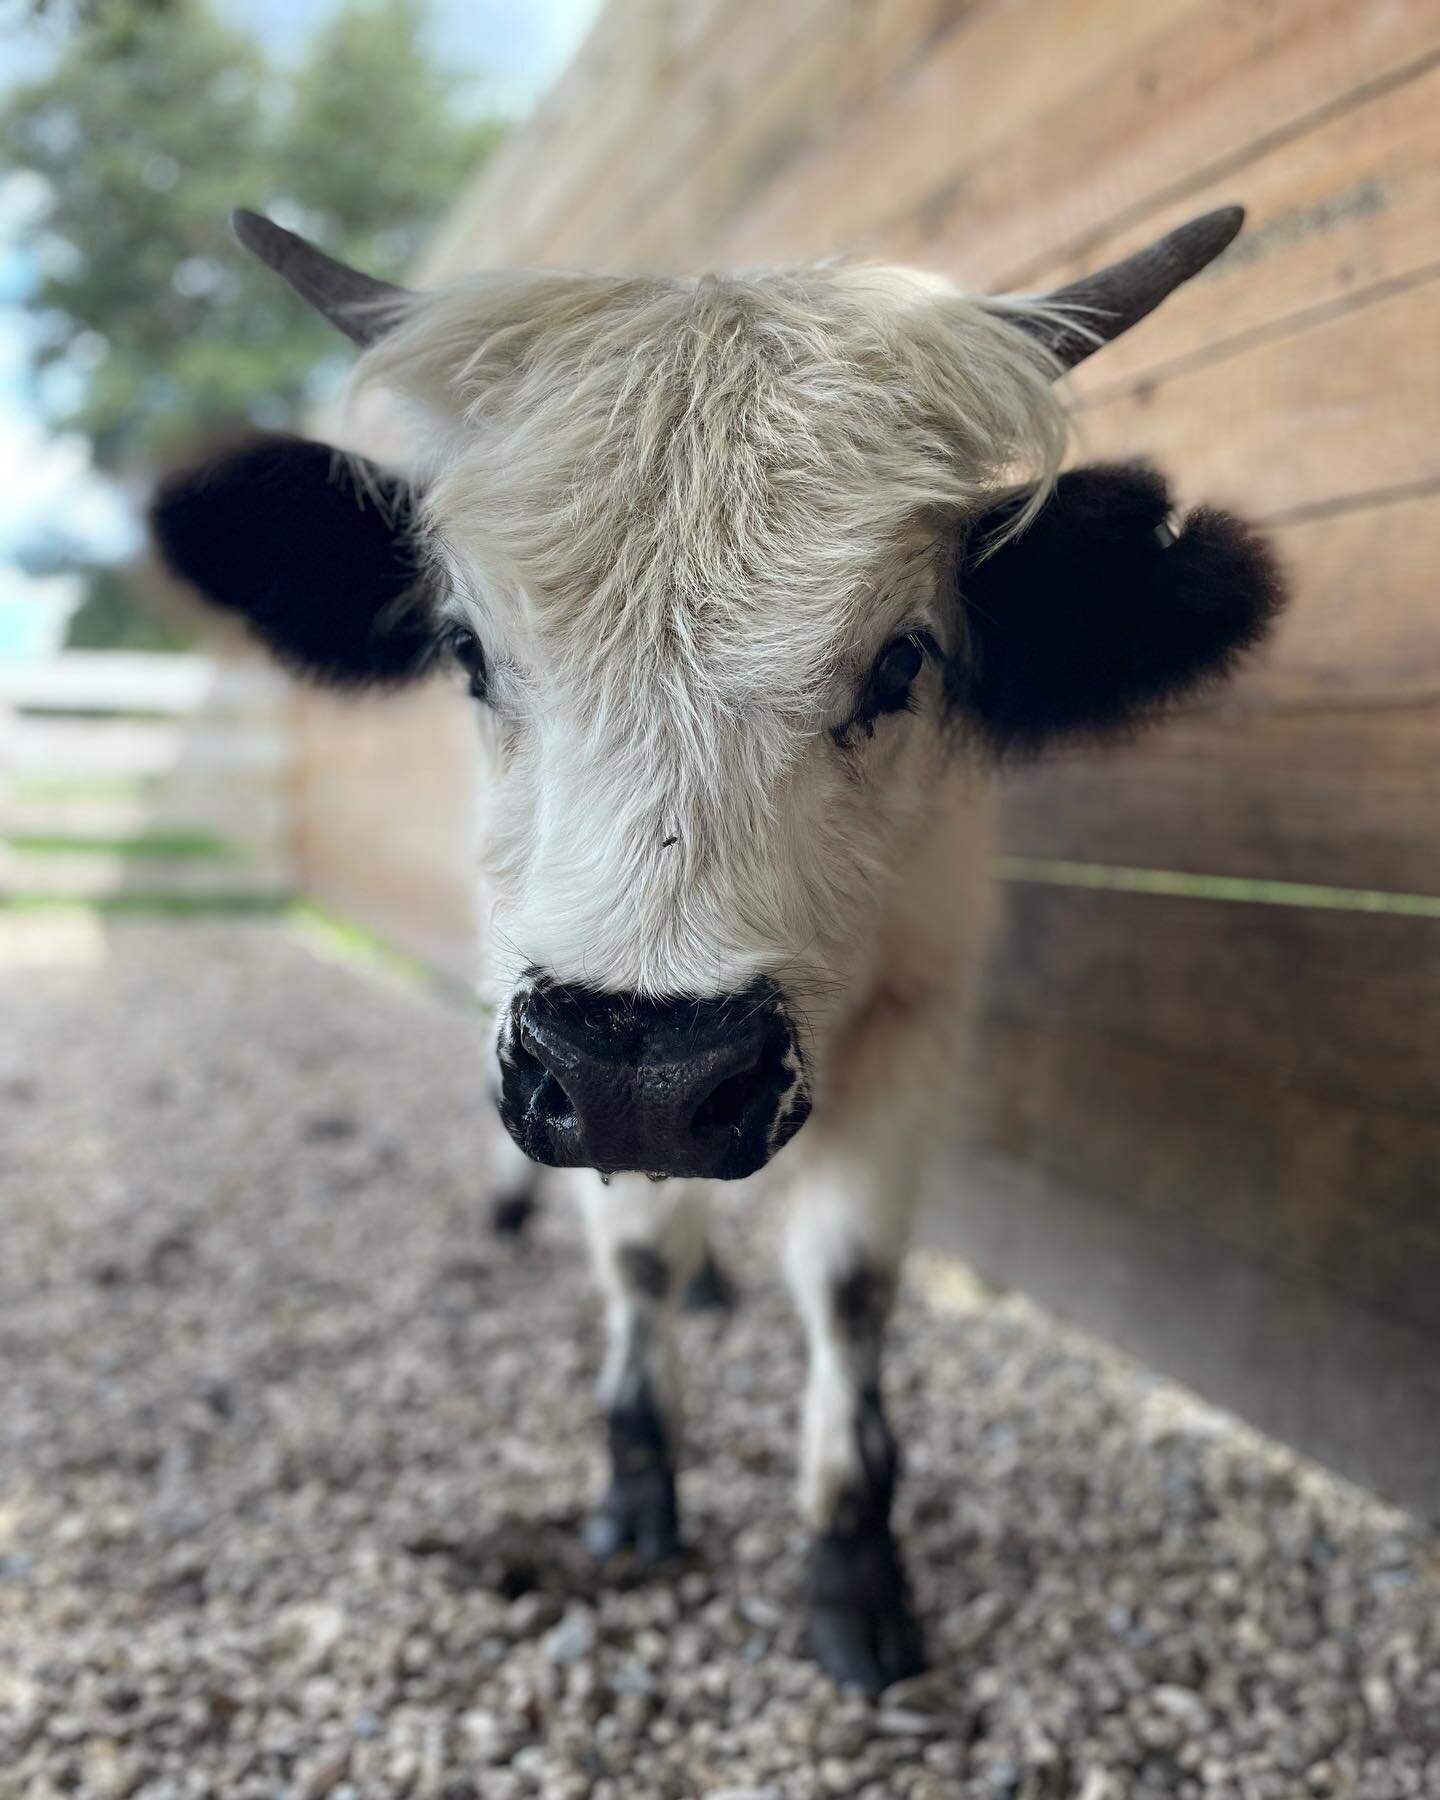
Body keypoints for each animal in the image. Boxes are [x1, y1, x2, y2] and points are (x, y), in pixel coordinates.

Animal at [151, 204, 1281, 1693]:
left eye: (904, 660)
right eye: (468, 650)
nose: (650, 1079)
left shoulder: (920, 1020)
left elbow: (851, 1289)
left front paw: (856, 1562)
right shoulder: (557, 1051)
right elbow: (631, 1256)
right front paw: (638, 1494)